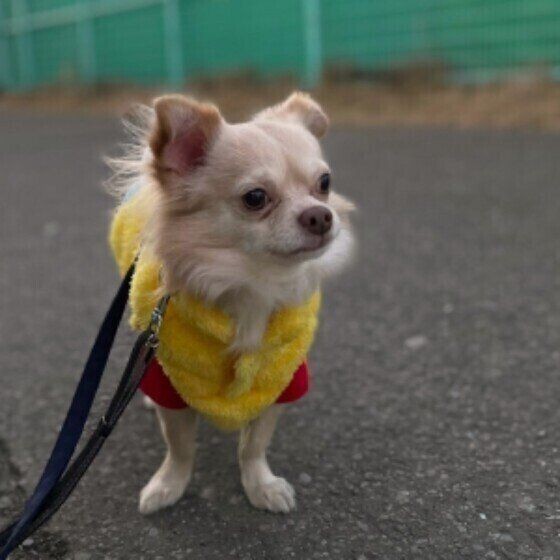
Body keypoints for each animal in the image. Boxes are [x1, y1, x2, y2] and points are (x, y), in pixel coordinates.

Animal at [106, 93, 354, 516]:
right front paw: (169, 485)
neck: (252, 282)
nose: (320, 215)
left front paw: (261, 486)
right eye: (255, 198)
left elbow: (254, 445)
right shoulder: (169, 382)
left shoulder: (281, 379)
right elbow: (180, 448)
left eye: (324, 183)